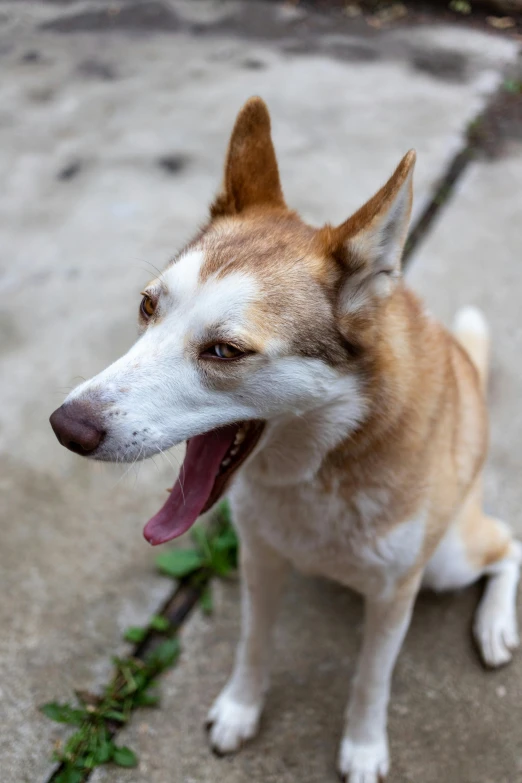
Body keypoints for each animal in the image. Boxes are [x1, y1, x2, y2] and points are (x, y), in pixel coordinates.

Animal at [49, 98, 516, 783]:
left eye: (224, 351)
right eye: (147, 306)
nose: (66, 427)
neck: (318, 473)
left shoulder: (395, 593)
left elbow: (371, 680)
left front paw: (363, 746)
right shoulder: (260, 559)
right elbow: (253, 644)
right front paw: (241, 709)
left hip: (448, 560)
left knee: (509, 545)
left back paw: (495, 625)